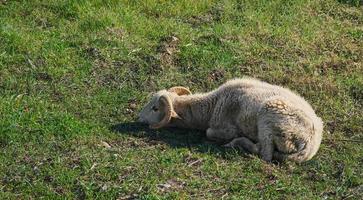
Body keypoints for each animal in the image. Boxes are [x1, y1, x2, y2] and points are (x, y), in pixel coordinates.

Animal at [139, 77, 324, 163]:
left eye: (155, 108)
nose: (139, 117)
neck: (211, 107)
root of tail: (310, 144)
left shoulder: (227, 127)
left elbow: (209, 132)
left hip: (269, 117)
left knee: (264, 154)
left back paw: (237, 143)